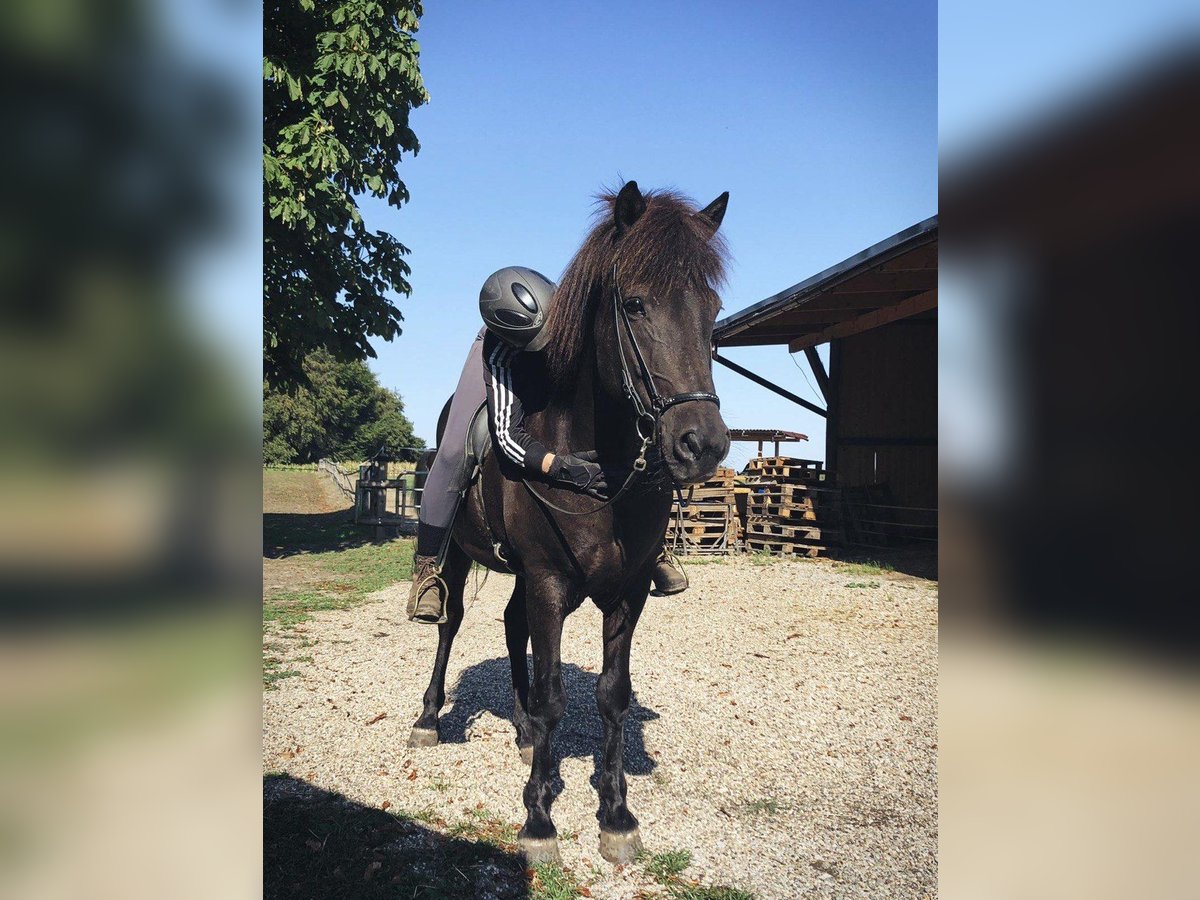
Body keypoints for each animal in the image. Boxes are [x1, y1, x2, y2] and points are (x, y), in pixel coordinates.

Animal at [409, 181, 731, 865]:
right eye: (635, 304)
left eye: (713, 309)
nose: (703, 445)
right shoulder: (550, 582)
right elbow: (556, 694)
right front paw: (538, 821)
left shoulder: (626, 591)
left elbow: (611, 694)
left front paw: (616, 814)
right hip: (462, 555)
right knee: (450, 621)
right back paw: (428, 717)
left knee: (510, 626)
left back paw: (526, 734)